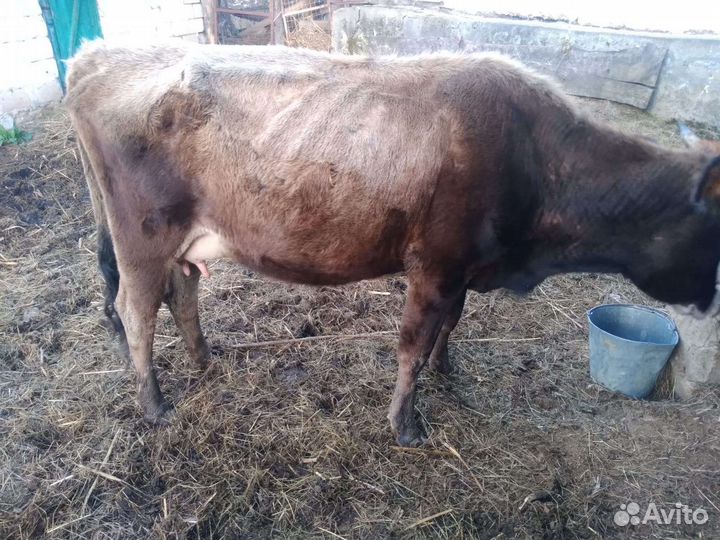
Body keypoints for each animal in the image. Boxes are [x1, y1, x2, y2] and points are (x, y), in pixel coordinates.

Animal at [65, 41, 720, 447]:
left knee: (181, 294)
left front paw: (446, 370)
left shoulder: (462, 268)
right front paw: (405, 423)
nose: (710, 301)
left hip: (180, 240)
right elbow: (411, 343)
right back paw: (154, 405)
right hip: (143, 235)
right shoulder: (433, 265)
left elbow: (451, 323)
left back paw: (205, 359)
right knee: (134, 309)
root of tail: (95, 57)